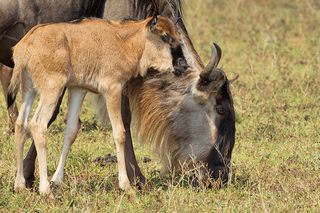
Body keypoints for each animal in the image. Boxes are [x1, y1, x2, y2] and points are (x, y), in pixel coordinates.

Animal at [8, 15, 181, 196]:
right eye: (165, 36)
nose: (180, 66)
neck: (125, 41)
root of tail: (25, 45)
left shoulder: (78, 89)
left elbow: (71, 131)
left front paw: (57, 180)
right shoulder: (112, 89)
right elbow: (119, 133)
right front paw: (126, 186)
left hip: (29, 91)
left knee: (20, 124)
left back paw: (19, 185)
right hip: (52, 90)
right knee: (37, 125)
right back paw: (45, 191)